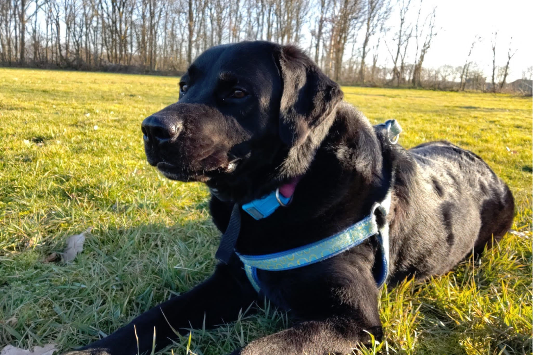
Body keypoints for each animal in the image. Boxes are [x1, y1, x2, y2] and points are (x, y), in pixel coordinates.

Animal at [68, 40, 512, 354]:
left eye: (237, 92)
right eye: (184, 86)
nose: (152, 129)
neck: (279, 194)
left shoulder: (353, 320)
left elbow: (256, 349)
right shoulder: (228, 283)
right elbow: (155, 317)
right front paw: (91, 351)